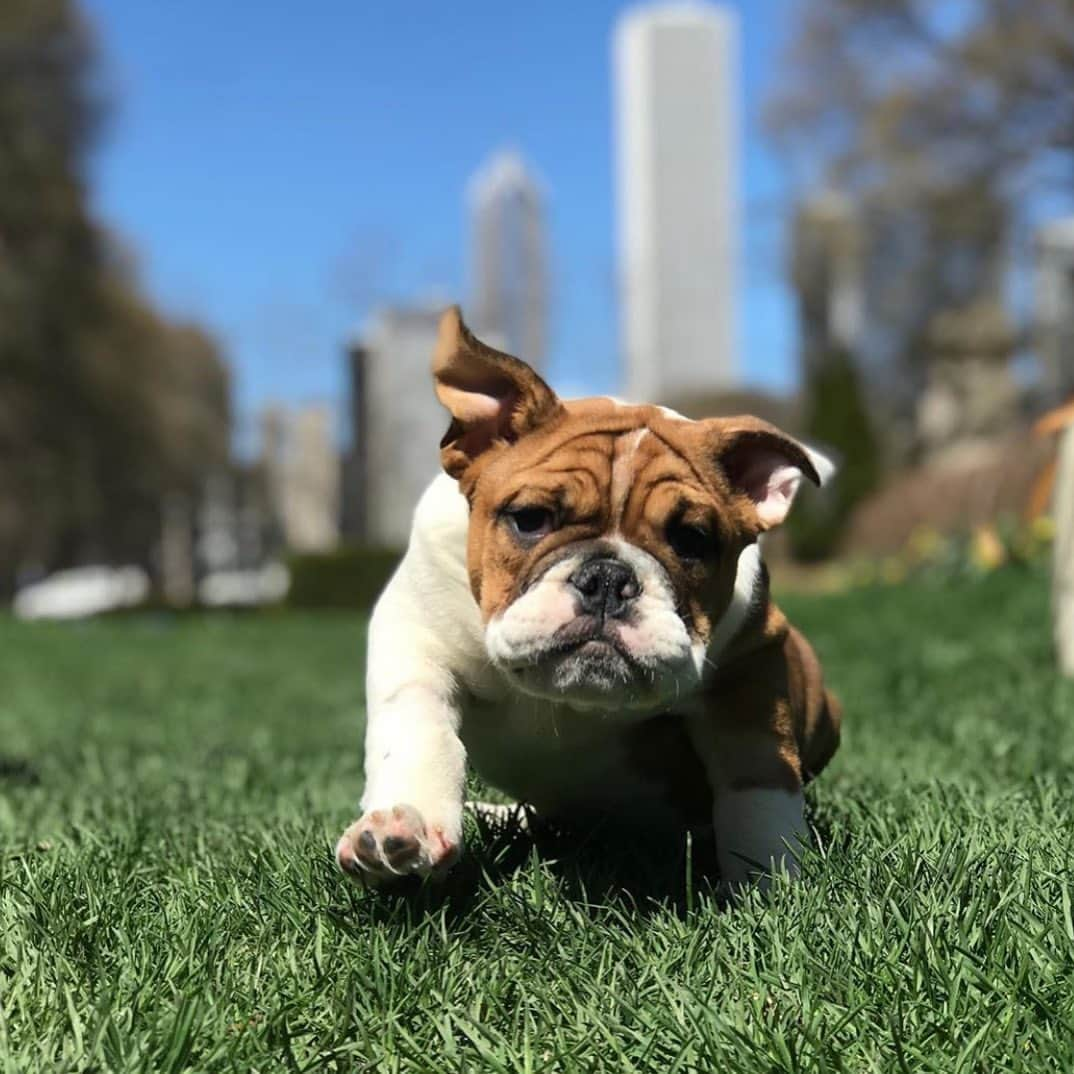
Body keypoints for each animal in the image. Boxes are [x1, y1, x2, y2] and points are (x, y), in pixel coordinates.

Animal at [335, 309, 837, 889]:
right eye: (530, 518)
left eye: (691, 539)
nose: (607, 579)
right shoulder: (415, 638)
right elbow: (417, 728)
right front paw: (407, 824)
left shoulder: (753, 666)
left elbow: (758, 779)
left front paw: (767, 878)